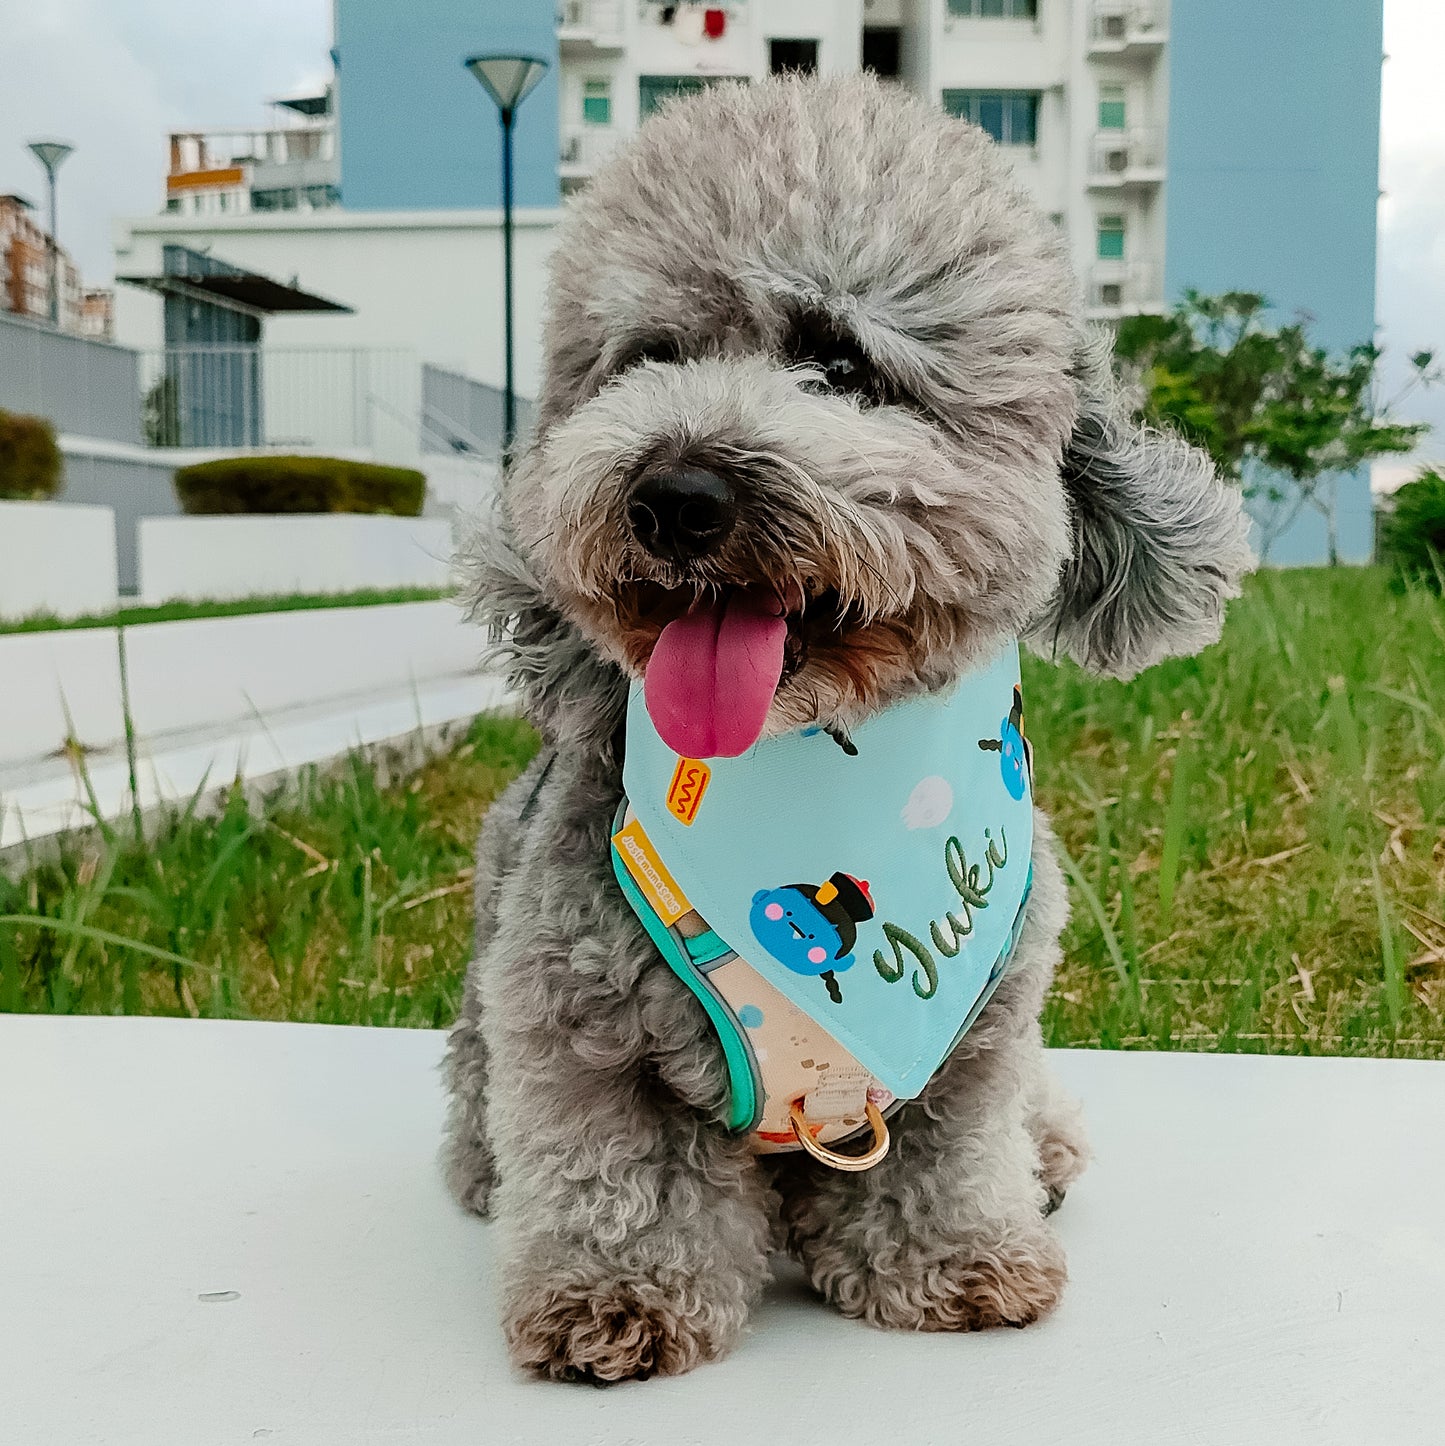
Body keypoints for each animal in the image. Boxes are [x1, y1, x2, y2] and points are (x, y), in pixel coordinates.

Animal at [442, 73, 1255, 1382]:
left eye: (837, 359)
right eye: (646, 359)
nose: (673, 496)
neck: (817, 772)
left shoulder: (975, 1037)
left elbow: (946, 1154)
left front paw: (959, 1260)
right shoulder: (571, 1027)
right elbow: (615, 1174)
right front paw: (613, 1296)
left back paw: (1047, 1150)